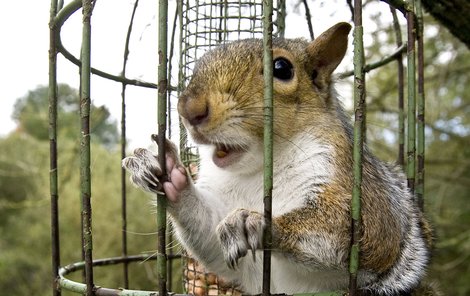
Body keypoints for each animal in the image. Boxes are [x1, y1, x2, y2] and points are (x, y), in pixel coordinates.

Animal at [124, 23, 434, 296]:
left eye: (282, 69)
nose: (189, 109)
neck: (258, 170)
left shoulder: (365, 197)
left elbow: (357, 233)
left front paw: (253, 220)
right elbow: (211, 236)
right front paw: (167, 170)